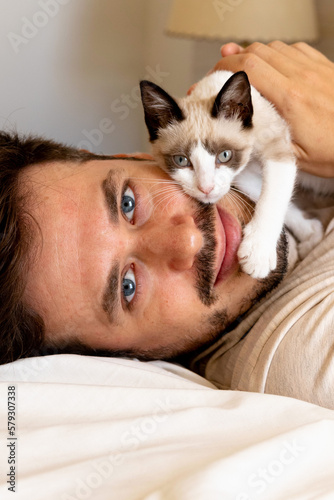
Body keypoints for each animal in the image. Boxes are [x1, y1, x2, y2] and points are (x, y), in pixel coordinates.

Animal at [139, 72, 332, 280]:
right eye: (181, 160)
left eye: (224, 155)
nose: (206, 189)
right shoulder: (244, 173)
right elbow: (269, 197)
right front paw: (311, 232)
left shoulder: (276, 151)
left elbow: (272, 198)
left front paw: (258, 254)